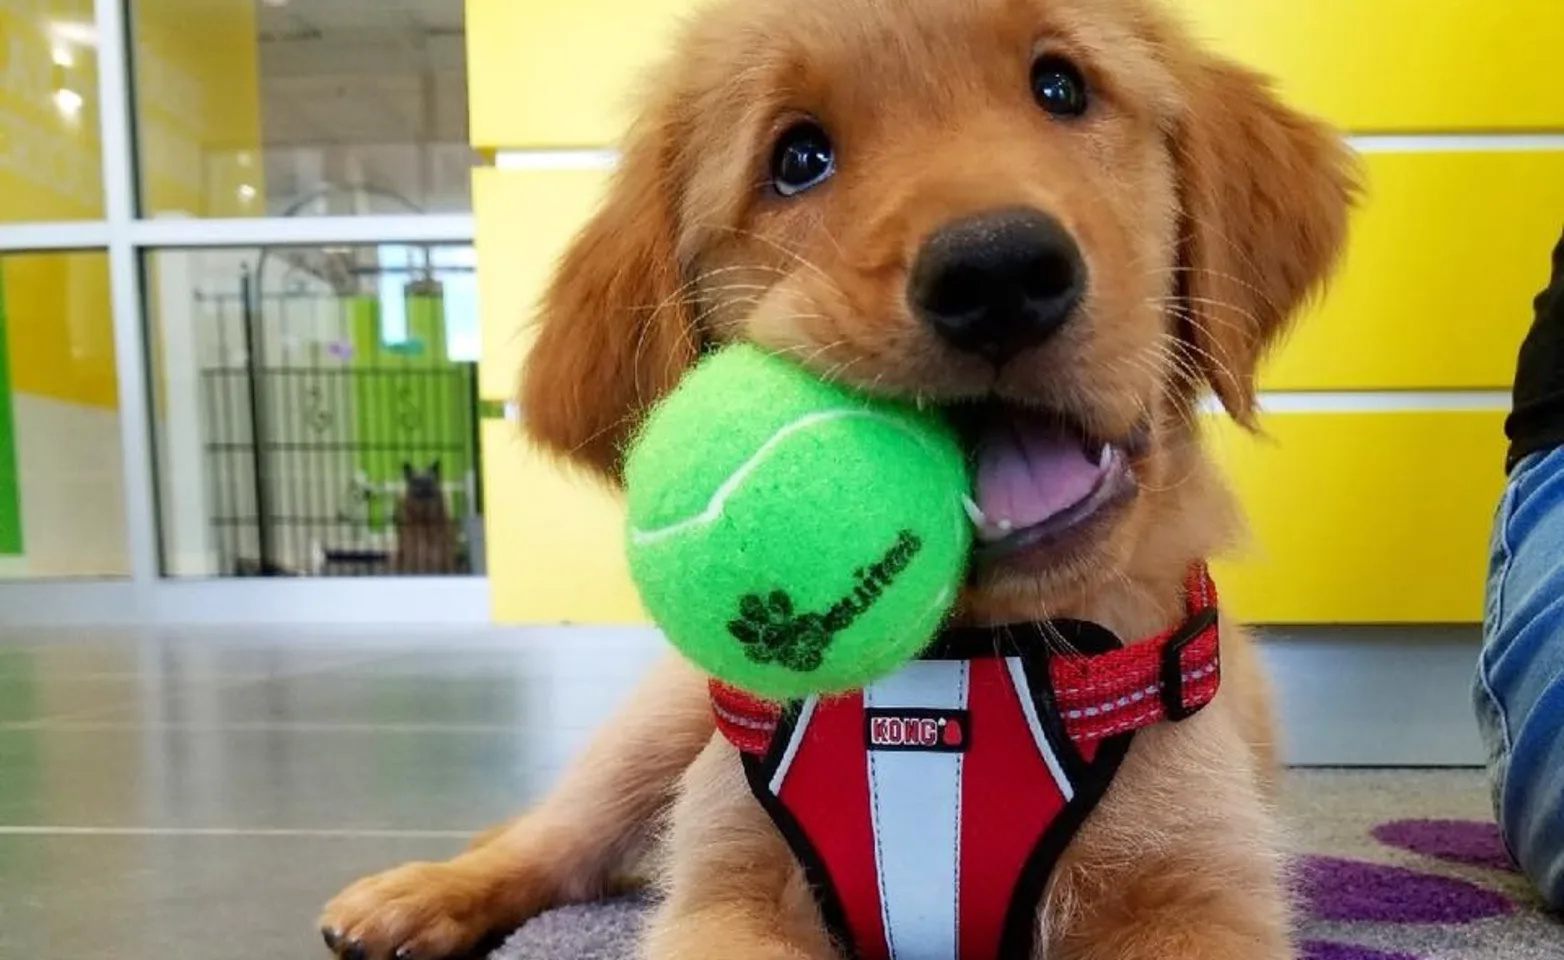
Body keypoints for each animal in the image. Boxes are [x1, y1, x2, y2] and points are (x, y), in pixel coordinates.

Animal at [320, 0, 1357, 956]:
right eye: (799, 158)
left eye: (1062, 88)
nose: (999, 273)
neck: (966, 665)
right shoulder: (727, 887)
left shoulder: (1196, 887)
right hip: (662, 724)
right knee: (562, 839)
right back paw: (414, 897)